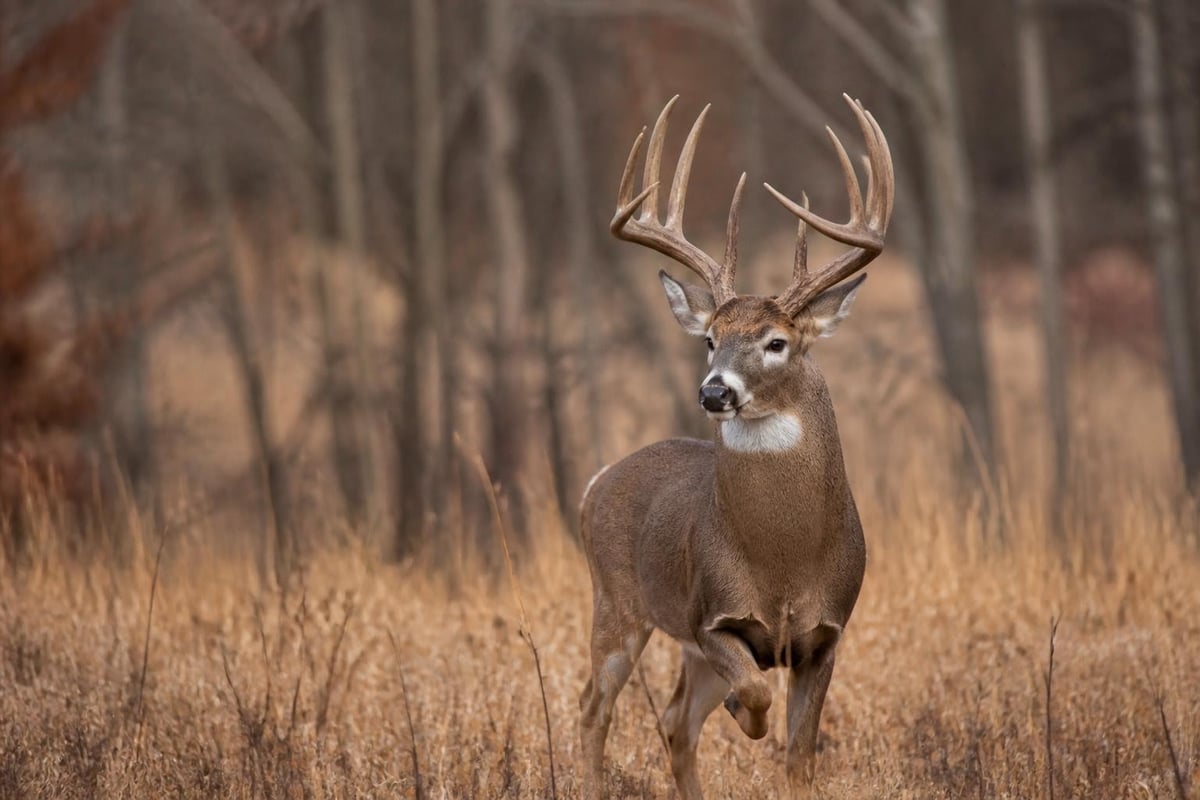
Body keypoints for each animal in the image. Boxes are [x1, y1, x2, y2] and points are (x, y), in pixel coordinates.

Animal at [577, 93, 893, 800]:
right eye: (709, 339)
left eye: (777, 341)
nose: (714, 390)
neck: (784, 561)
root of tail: (597, 479)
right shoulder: (713, 619)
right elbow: (754, 693)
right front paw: (742, 715)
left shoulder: (826, 635)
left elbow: (799, 758)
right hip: (617, 601)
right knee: (593, 708)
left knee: (672, 720)